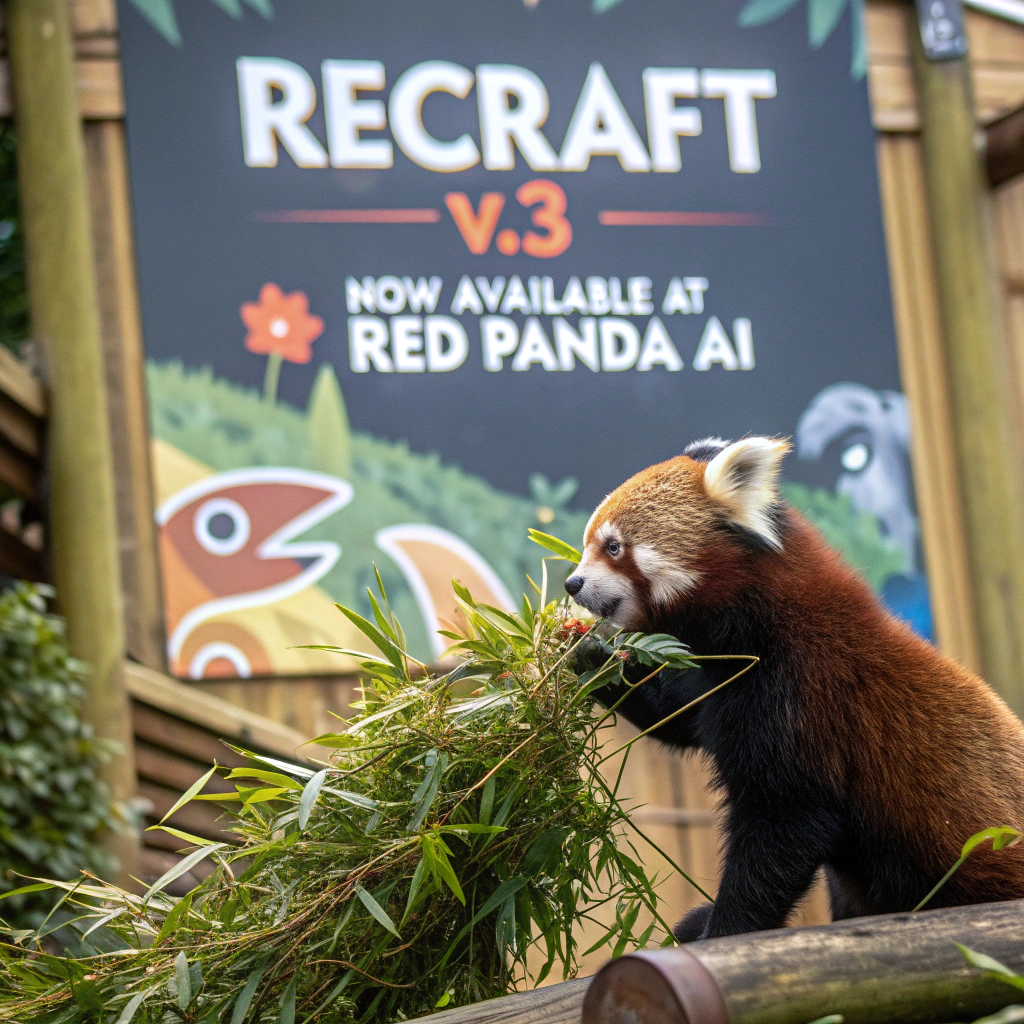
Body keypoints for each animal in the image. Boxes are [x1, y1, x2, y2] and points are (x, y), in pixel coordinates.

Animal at [564, 436, 1024, 941]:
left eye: (613, 547)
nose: (572, 583)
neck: (755, 624)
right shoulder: (713, 677)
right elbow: (676, 718)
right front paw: (584, 654)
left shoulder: (802, 690)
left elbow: (786, 821)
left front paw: (723, 931)